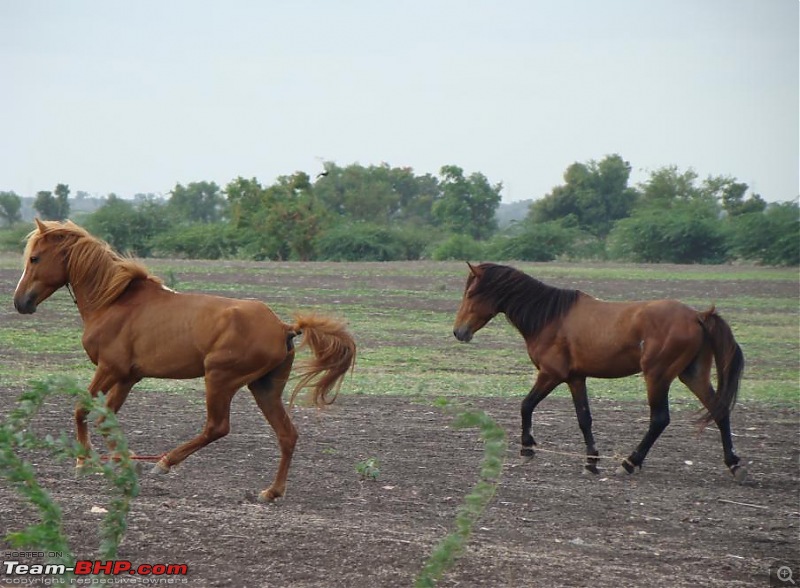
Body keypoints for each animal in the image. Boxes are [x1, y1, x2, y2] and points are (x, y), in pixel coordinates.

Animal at [11, 219, 356, 500]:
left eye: (35, 257)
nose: (20, 302)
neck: (114, 301)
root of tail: (284, 327)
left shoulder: (110, 369)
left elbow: (81, 410)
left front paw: (84, 461)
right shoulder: (127, 377)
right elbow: (104, 418)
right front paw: (123, 461)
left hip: (219, 379)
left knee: (217, 427)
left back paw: (165, 462)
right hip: (264, 387)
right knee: (287, 435)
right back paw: (271, 492)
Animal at [454, 262, 748, 482]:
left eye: (471, 294)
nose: (458, 332)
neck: (551, 317)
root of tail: (698, 315)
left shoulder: (551, 374)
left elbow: (526, 405)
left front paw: (527, 447)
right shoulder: (575, 379)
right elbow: (584, 418)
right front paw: (591, 461)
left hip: (657, 377)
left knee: (659, 419)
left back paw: (630, 462)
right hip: (692, 375)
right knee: (719, 410)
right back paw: (733, 464)